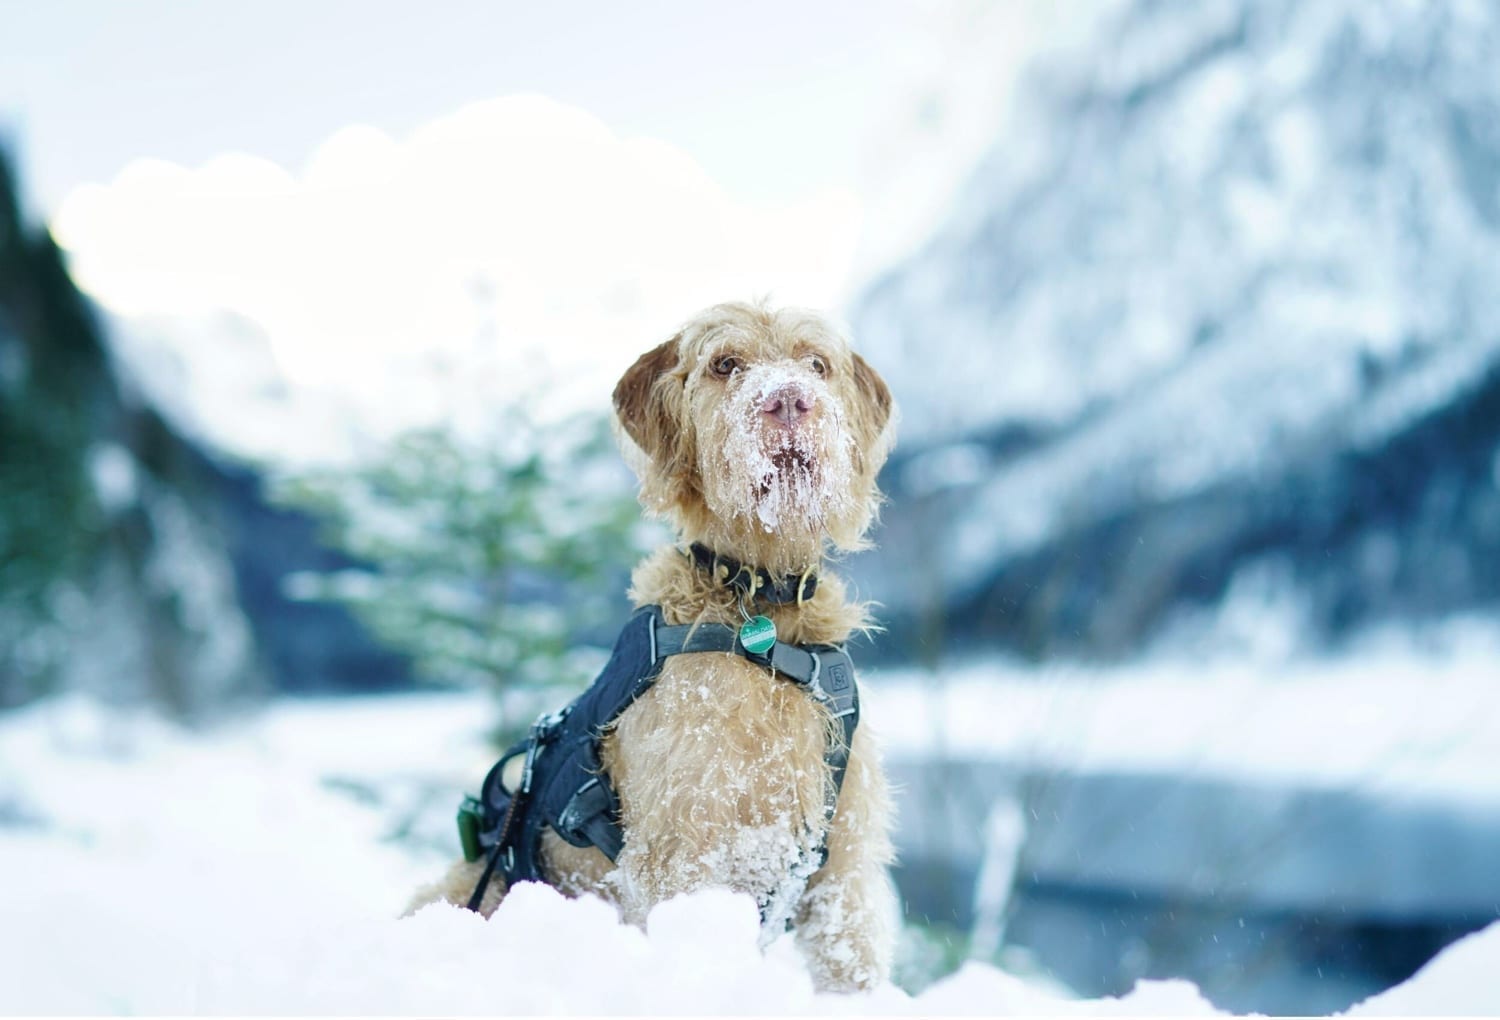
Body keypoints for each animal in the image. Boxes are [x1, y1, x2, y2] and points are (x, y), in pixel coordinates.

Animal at [411, 298, 894, 990]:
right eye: (726, 364)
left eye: (816, 365)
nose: (790, 400)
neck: (759, 608)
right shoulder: (682, 848)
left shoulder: (843, 858)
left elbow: (850, 956)